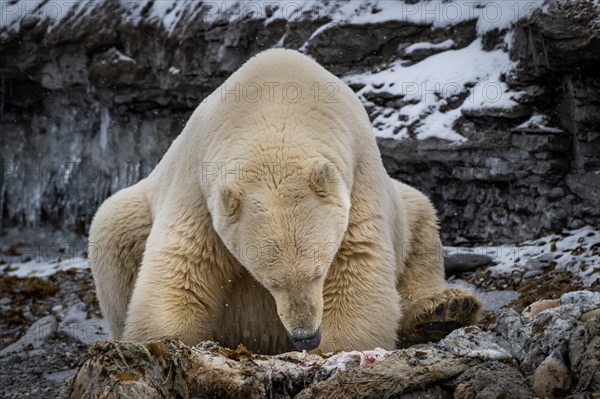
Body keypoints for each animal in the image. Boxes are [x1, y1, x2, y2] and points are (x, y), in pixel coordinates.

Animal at [89, 49, 480, 354]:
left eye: (319, 271)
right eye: (270, 282)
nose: (305, 337)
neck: (275, 104)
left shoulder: (356, 176)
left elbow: (357, 264)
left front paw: (341, 348)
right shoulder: (200, 187)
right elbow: (183, 266)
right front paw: (159, 342)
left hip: (402, 205)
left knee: (421, 222)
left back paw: (445, 309)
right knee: (113, 228)